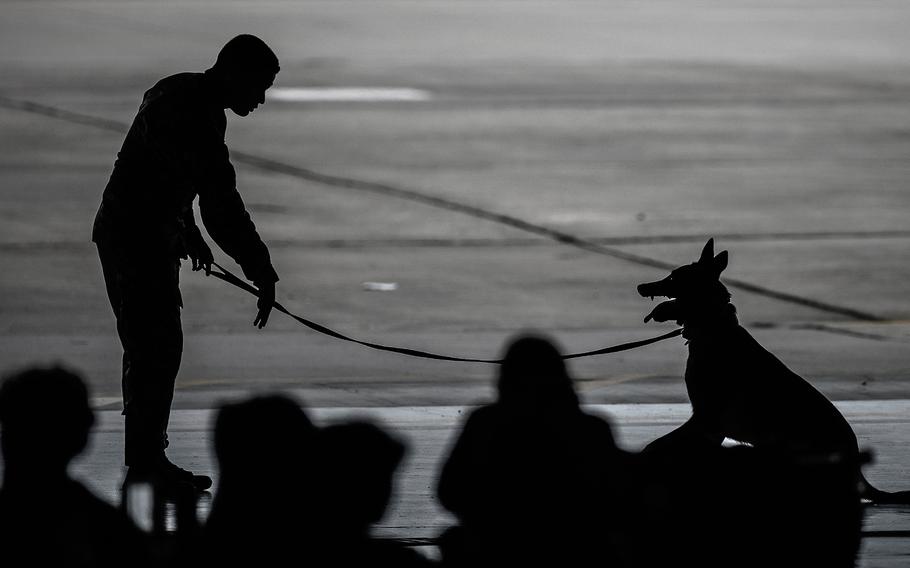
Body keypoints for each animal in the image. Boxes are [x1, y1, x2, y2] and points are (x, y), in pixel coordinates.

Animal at [640, 237, 910, 504]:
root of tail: (858, 475)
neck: (714, 327)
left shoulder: (708, 422)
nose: (641, 286)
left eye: (673, 278)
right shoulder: (708, 426)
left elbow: (656, 447)